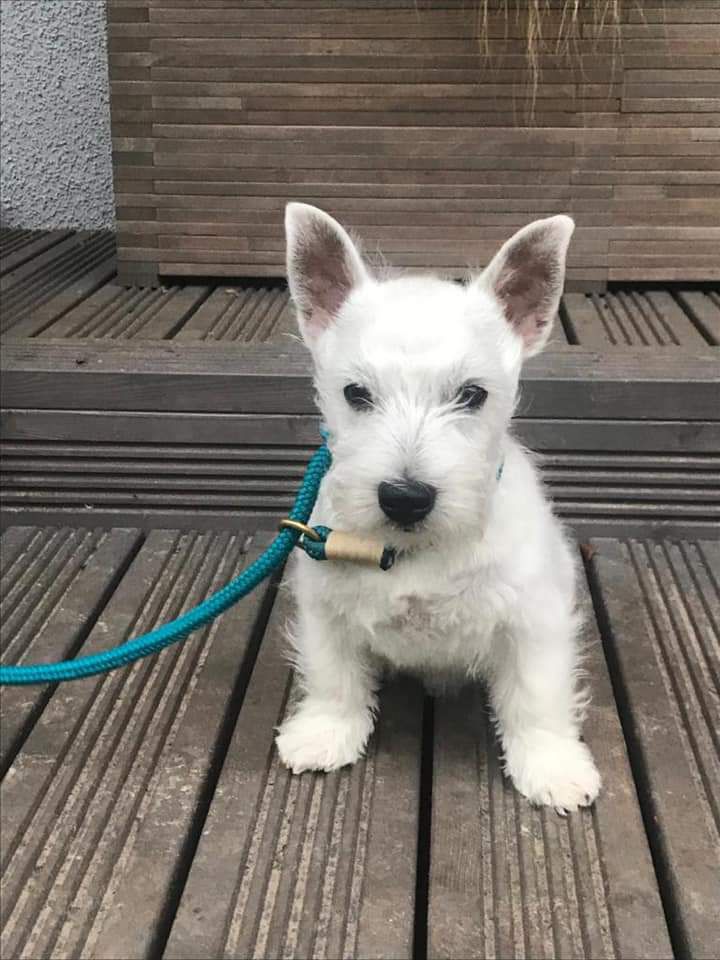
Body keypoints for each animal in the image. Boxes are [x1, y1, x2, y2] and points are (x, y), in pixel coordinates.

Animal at [276, 202, 600, 808]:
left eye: (472, 394)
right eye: (356, 393)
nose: (405, 498)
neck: (416, 549)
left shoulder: (535, 619)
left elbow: (537, 695)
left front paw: (552, 767)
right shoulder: (324, 608)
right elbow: (334, 676)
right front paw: (325, 733)